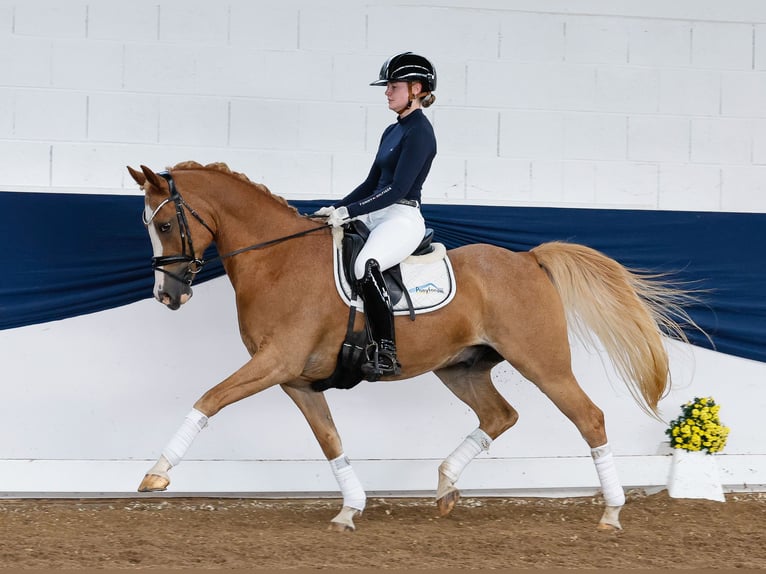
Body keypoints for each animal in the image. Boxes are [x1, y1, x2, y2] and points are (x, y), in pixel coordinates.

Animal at [127, 160, 696, 532]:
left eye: (165, 223)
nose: (166, 295)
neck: (277, 261)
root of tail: (528, 259)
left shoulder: (275, 363)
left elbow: (208, 399)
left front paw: (156, 475)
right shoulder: (296, 379)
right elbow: (330, 440)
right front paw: (350, 508)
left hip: (543, 363)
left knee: (589, 418)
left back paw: (612, 512)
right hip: (461, 368)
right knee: (500, 416)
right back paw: (445, 487)